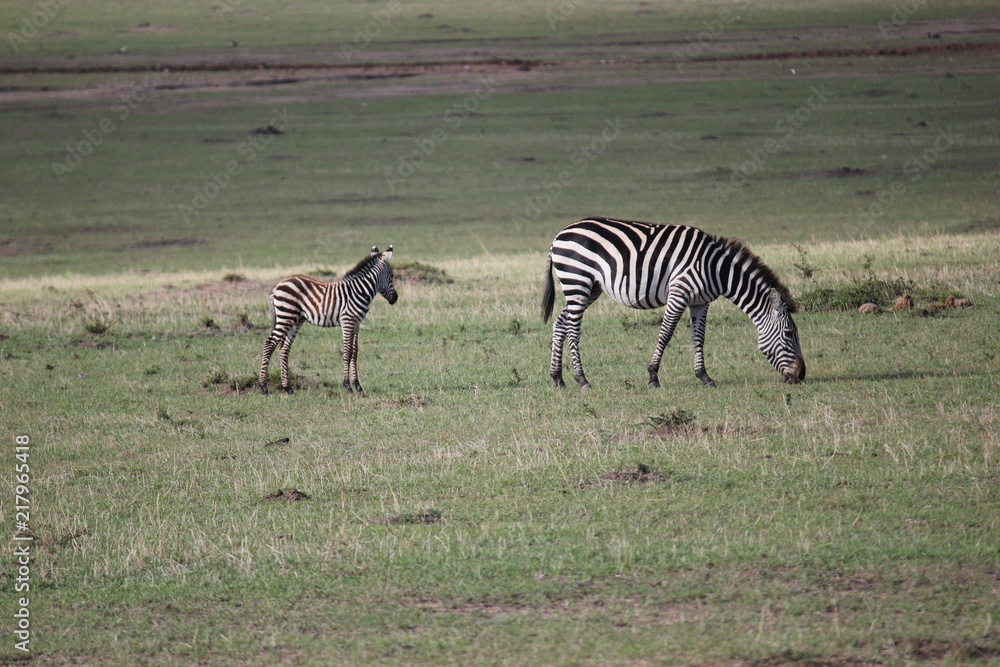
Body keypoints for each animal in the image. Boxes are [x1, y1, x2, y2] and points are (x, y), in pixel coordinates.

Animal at [258, 246, 397, 396]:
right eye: (391, 276)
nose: (395, 298)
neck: (359, 291)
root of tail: (277, 286)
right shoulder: (347, 321)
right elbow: (347, 351)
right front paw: (347, 386)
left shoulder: (357, 323)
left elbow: (355, 352)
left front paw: (358, 386)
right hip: (286, 315)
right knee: (269, 343)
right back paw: (263, 387)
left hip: (295, 319)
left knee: (284, 349)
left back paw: (287, 388)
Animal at [541, 217, 806, 389]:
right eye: (789, 333)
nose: (801, 375)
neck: (715, 269)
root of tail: (559, 234)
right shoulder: (679, 293)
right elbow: (666, 334)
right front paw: (653, 377)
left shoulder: (700, 302)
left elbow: (699, 337)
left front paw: (704, 377)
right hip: (578, 281)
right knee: (573, 329)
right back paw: (582, 380)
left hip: (589, 288)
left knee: (560, 324)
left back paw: (558, 378)